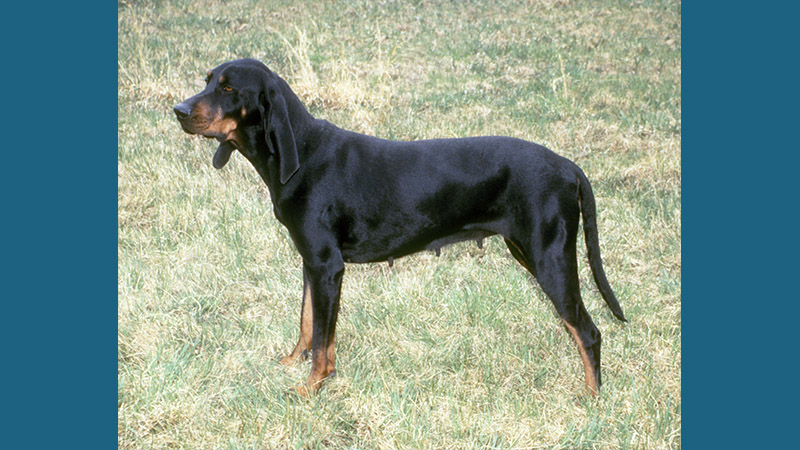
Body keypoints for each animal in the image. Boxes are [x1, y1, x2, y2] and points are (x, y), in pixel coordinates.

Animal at [173, 58, 624, 396]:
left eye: (229, 89)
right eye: (208, 80)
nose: (179, 110)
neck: (302, 154)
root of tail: (567, 166)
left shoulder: (327, 267)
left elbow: (322, 341)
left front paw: (311, 387)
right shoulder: (311, 263)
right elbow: (307, 325)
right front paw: (290, 363)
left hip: (550, 259)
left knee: (589, 333)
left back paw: (591, 398)